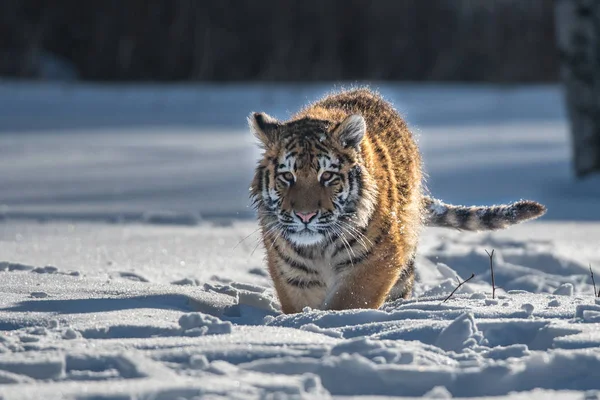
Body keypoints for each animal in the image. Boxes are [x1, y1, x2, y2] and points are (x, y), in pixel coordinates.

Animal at [246, 88, 548, 316]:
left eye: (327, 175)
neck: (319, 248)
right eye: (287, 176)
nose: (305, 216)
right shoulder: (294, 272)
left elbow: (348, 302)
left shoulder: (378, 258)